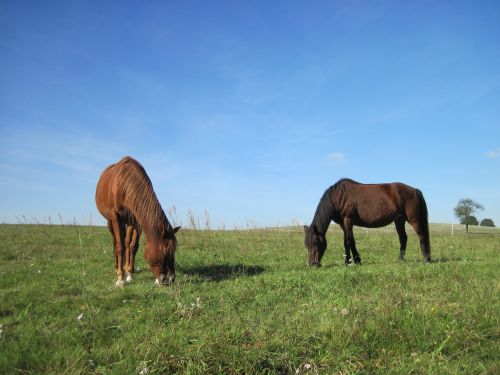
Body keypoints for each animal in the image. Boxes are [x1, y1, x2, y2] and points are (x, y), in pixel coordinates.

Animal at [95, 157, 180, 286]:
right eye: (165, 251)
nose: (170, 280)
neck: (124, 185)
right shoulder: (115, 217)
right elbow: (120, 247)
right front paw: (120, 279)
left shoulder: (137, 221)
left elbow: (133, 246)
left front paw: (130, 274)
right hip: (110, 222)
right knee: (115, 242)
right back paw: (117, 267)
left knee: (126, 242)